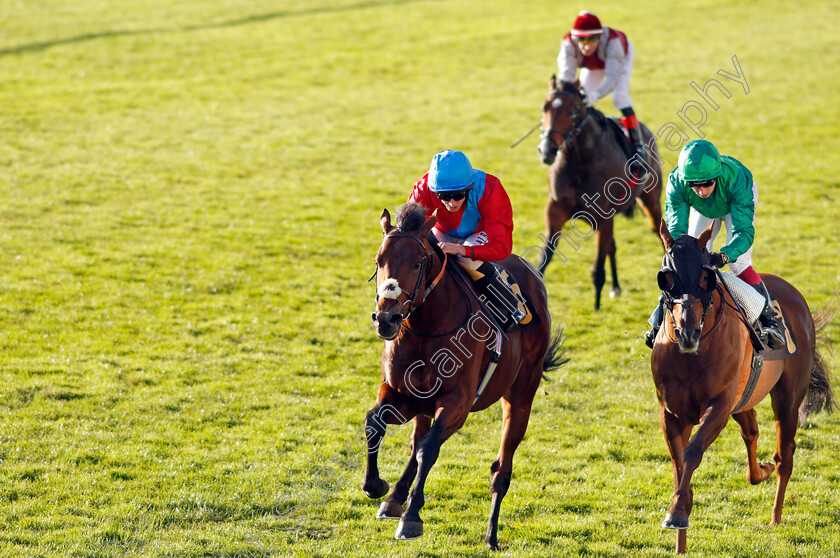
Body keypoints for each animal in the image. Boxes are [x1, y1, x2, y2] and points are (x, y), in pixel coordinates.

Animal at [364, 205, 568, 552]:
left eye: (417, 262)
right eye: (379, 261)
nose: (386, 319)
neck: (427, 327)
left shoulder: (457, 404)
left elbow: (429, 450)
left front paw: (412, 517)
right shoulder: (400, 394)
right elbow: (375, 423)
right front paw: (376, 486)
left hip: (521, 395)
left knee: (500, 469)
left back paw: (491, 536)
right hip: (424, 405)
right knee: (418, 440)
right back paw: (393, 500)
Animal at [540, 76, 664, 310]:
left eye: (571, 112)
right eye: (545, 107)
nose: (547, 150)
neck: (580, 159)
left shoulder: (602, 217)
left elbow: (597, 267)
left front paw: (596, 306)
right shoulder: (555, 209)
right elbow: (545, 256)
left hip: (651, 200)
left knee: (659, 231)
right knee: (612, 246)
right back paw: (615, 287)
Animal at [648, 222, 832, 556]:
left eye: (706, 277)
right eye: (666, 277)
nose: (687, 332)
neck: (693, 353)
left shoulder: (718, 407)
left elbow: (692, 452)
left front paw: (678, 512)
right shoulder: (672, 414)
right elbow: (679, 464)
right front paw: (680, 535)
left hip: (787, 398)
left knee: (784, 455)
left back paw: (774, 517)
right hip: (744, 399)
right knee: (752, 430)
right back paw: (760, 471)